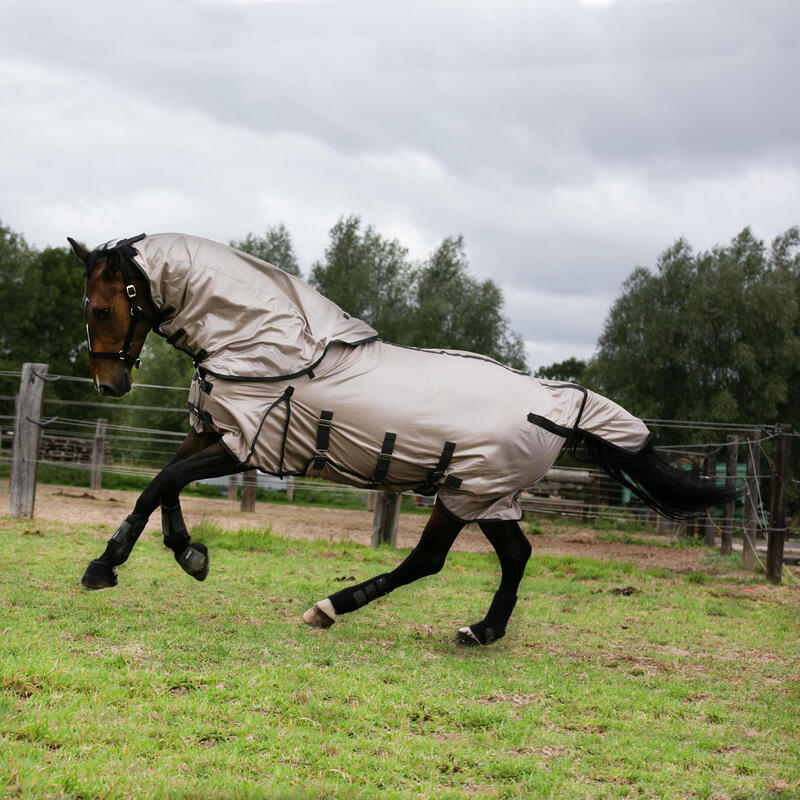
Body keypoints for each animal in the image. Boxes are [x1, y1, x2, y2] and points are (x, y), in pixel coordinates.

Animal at [69, 234, 736, 648]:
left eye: (101, 308)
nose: (109, 384)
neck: (264, 343)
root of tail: (558, 404)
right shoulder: (212, 431)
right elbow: (162, 487)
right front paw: (180, 555)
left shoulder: (243, 444)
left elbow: (162, 482)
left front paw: (115, 565)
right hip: (491, 498)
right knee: (515, 556)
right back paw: (481, 632)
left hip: (466, 492)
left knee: (429, 559)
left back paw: (331, 607)